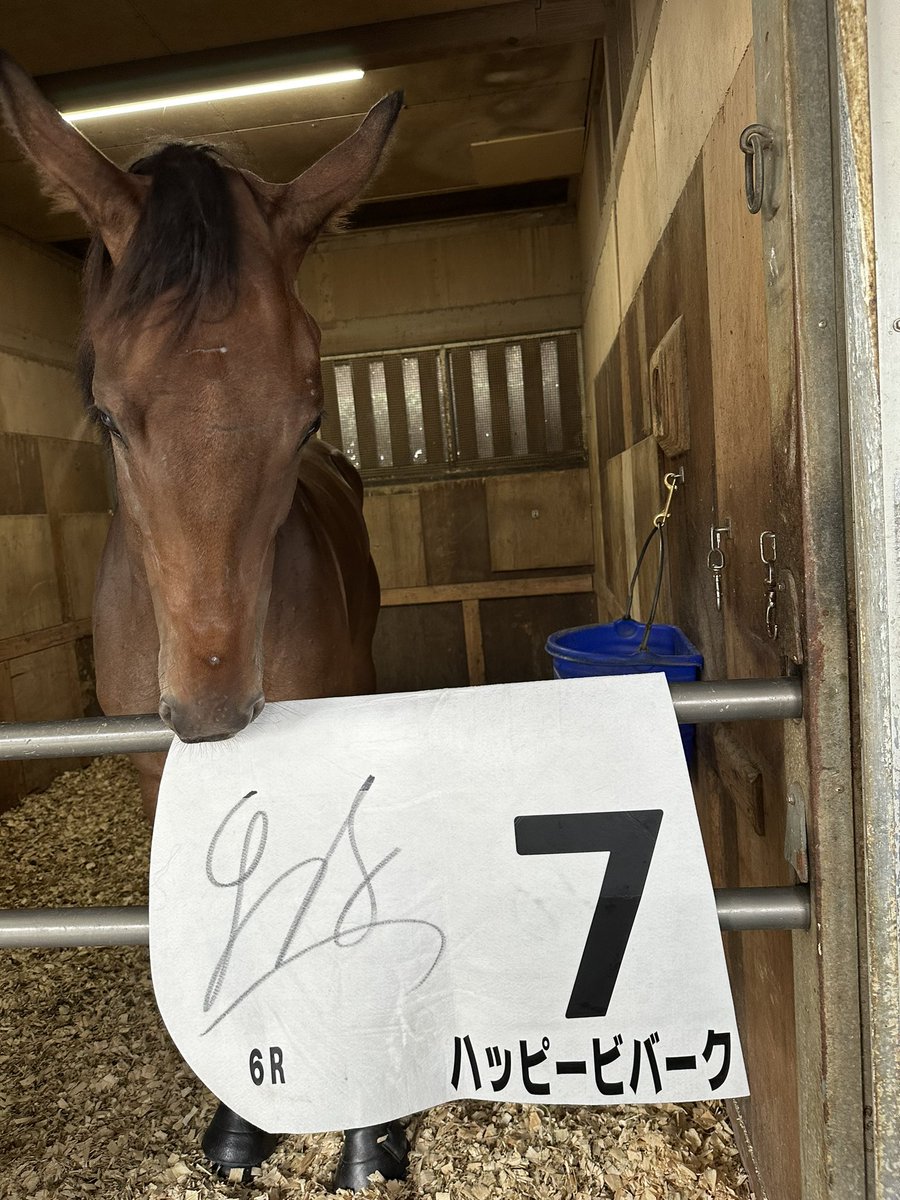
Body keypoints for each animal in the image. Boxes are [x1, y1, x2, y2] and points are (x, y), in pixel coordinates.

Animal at [0, 51, 405, 1191]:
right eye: (105, 414)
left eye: (306, 413)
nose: (214, 708)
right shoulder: (159, 778)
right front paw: (238, 1123)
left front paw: (368, 1138)